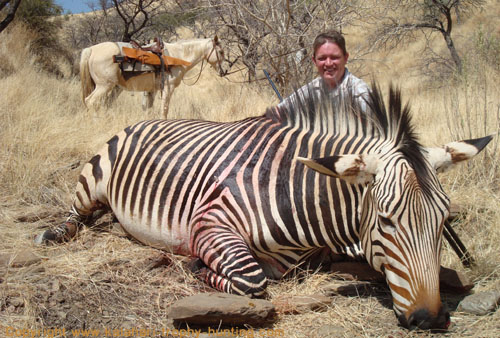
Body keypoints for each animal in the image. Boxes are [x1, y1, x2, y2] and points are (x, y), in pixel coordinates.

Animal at [80, 36, 225, 117]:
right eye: (221, 52)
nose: (224, 71)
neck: (177, 55)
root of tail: (91, 50)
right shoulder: (168, 88)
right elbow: (164, 110)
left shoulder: (151, 90)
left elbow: (148, 109)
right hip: (104, 86)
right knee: (91, 102)